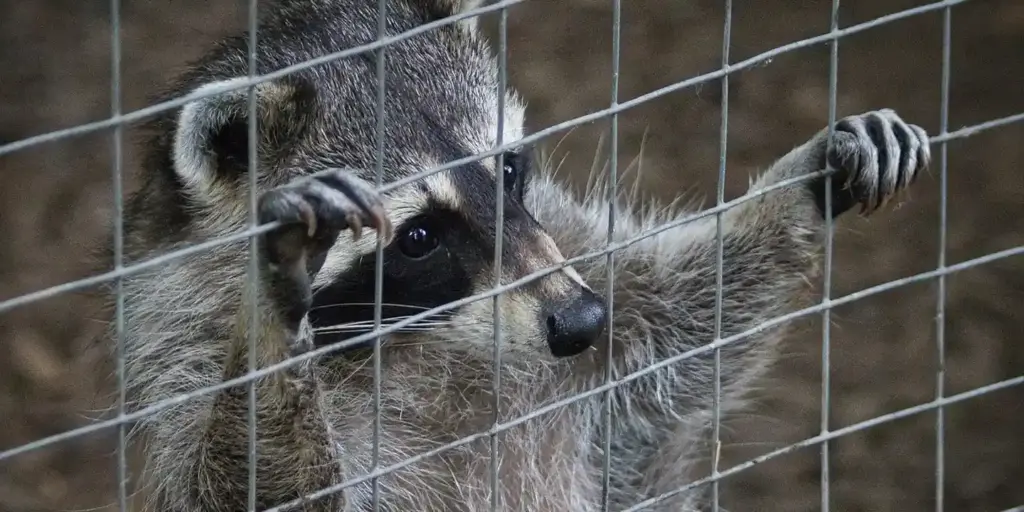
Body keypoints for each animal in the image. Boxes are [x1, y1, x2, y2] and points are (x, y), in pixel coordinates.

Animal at [112, 0, 932, 510]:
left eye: (507, 171)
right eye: (418, 237)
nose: (581, 322)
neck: (426, 338)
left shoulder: (563, 251)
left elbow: (681, 325)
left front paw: (799, 187)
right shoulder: (180, 355)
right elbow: (251, 489)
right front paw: (271, 320)